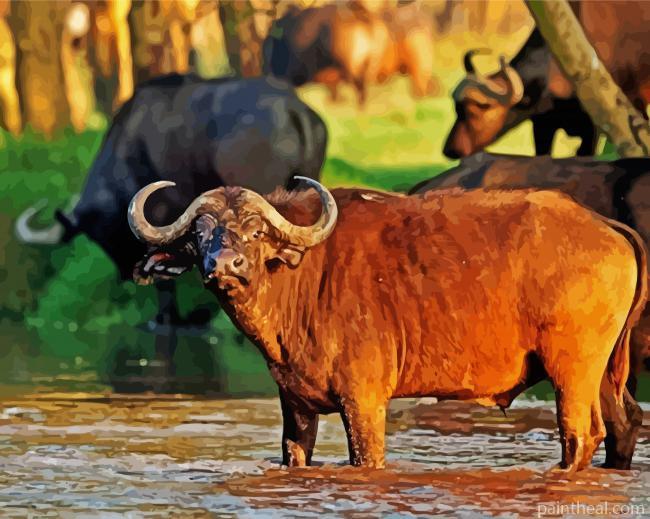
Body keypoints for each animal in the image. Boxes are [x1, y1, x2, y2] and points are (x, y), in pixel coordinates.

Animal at [127, 177, 646, 472]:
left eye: (256, 232)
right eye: (200, 233)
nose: (224, 264)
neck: (302, 277)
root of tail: (603, 224)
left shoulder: (364, 402)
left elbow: (367, 458)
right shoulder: (295, 405)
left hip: (571, 370)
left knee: (581, 434)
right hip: (602, 373)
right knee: (624, 423)